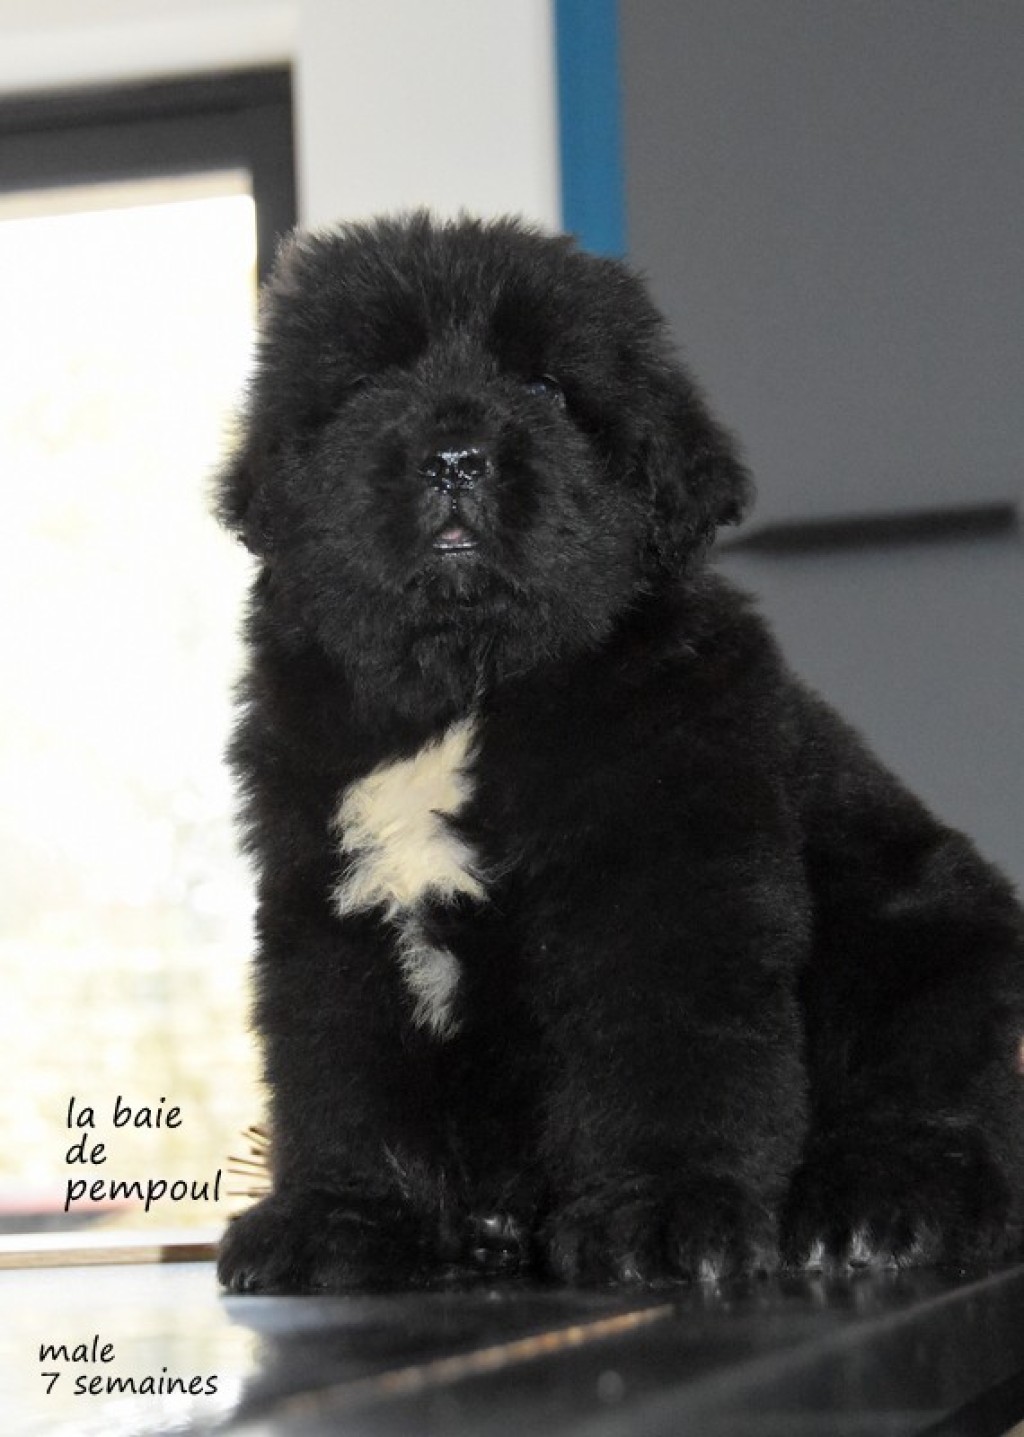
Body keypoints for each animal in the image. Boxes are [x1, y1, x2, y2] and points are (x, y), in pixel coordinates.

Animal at [215, 213, 1024, 1291]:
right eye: (368, 384)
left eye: (548, 388)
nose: (455, 456)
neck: (467, 683)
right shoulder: (328, 899)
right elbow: (336, 1066)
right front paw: (336, 1217)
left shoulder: (662, 877)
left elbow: (662, 1047)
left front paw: (663, 1213)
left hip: (926, 933)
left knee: (944, 1115)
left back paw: (879, 1208)